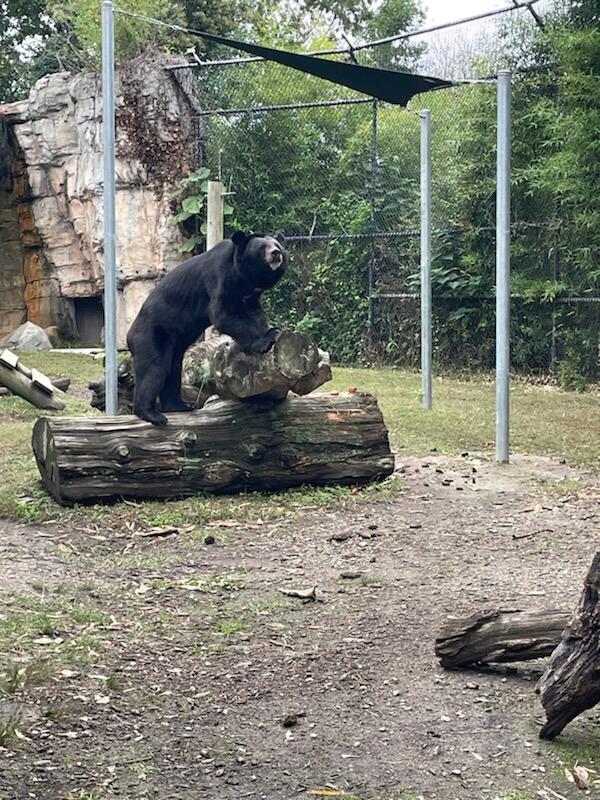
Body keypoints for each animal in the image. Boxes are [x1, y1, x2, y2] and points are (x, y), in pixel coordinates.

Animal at [127, 230, 288, 427]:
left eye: (277, 246)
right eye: (262, 248)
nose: (276, 254)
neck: (245, 278)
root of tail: (130, 334)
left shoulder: (249, 294)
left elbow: (254, 312)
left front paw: (270, 330)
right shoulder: (219, 277)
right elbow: (222, 314)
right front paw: (268, 338)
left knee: (173, 368)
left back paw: (180, 406)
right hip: (152, 335)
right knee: (155, 368)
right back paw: (152, 414)